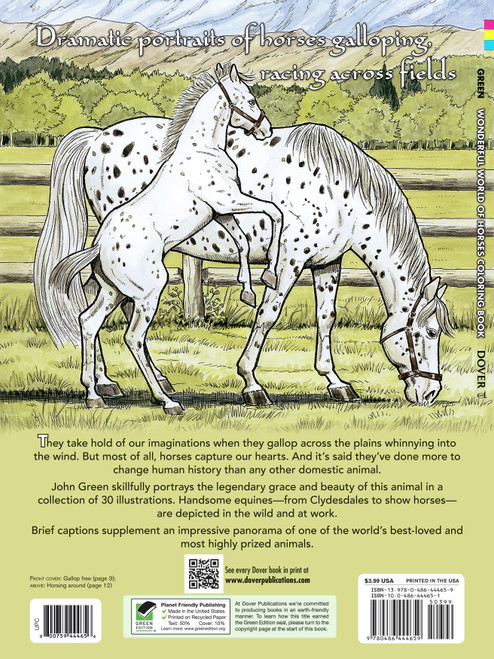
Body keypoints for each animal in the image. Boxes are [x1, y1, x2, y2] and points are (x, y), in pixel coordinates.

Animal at [35, 109, 453, 409]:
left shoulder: (325, 264)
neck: (341, 190)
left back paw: (116, 383)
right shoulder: (290, 260)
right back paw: (115, 384)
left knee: (100, 306)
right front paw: (251, 383)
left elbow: (326, 319)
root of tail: (97, 138)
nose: (430, 394)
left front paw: (336, 382)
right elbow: (268, 315)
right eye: (430, 333)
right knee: (115, 311)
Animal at [46, 62, 285, 415]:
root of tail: (99, 246)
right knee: (133, 337)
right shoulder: (228, 201)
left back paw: (94, 394)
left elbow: (242, 241)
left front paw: (248, 290)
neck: (202, 150)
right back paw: (166, 400)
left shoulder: (221, 211)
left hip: (112, 291)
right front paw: (268, 274)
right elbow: (274, 211)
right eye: (251, 99)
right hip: (148, 291)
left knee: (88, 321)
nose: (265, 129)